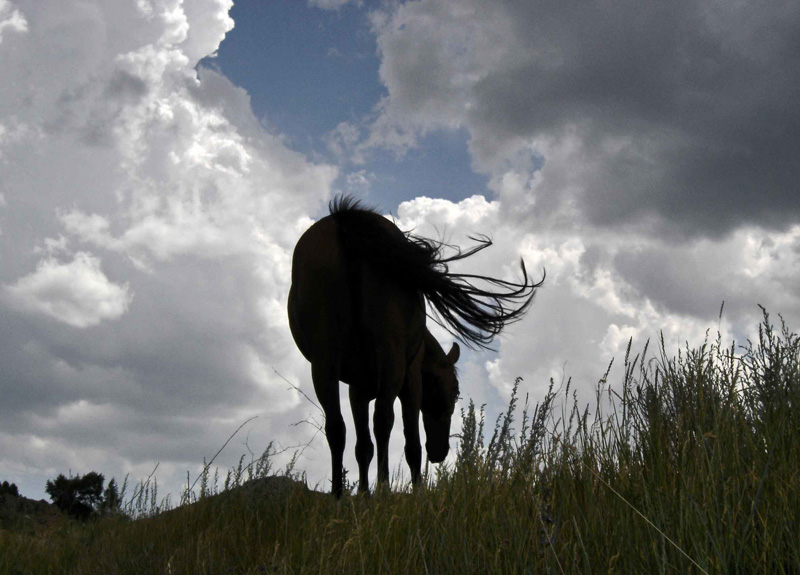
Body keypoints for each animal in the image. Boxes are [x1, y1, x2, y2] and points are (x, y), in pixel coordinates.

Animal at [288, 196, 544, 498]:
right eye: (454, 392)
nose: (440, 452)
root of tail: (344, 219)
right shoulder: (410, 381)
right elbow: (411, 443)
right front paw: (414, 492)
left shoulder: (357, 391)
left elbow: (363, 446)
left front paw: (363, 493)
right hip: (390, 360)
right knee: (383, 421)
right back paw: (383, 489)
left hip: (325, 361)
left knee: (337, 427)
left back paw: (339, 493)